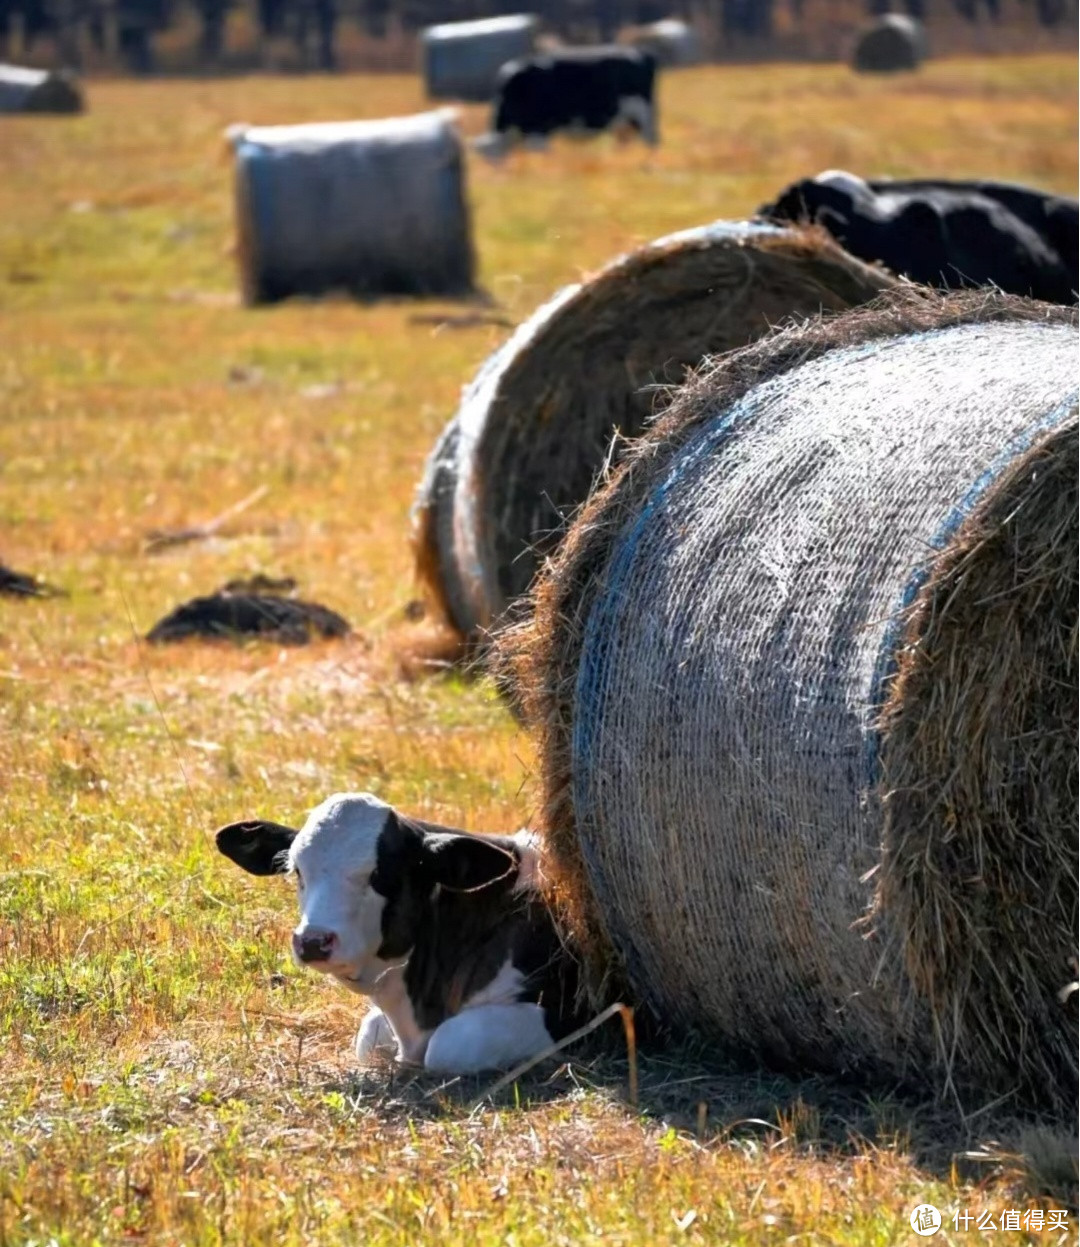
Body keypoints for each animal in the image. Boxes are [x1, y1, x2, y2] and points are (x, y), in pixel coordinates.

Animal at [473, 45, 658, 158]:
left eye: (493, 155)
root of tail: (640, 53)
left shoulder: (538, 129)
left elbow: (540, 153)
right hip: (627, 118)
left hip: (642, 113)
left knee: (650, 139)